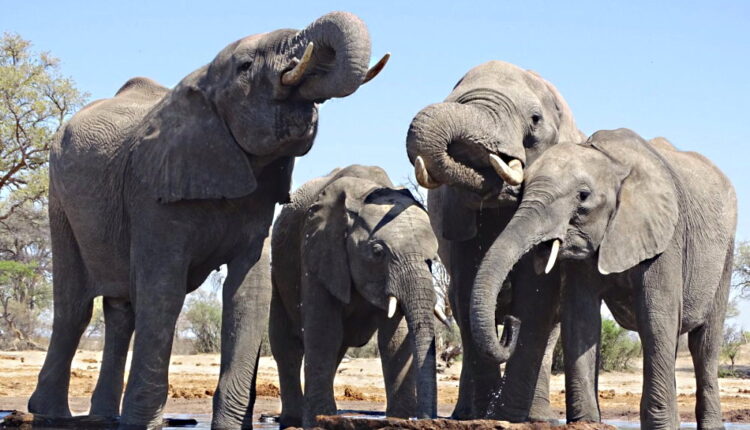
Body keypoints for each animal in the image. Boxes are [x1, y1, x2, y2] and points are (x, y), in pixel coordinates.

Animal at [28, 12, 388, 428]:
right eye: (246, 66)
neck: (201, 83)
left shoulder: (259, 203)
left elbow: (248, 293)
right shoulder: (152, 191)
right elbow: (162, 290)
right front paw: (142, 423)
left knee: (121, 311)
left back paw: (102, 417)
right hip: (60, 200)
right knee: (74, 307)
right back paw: (49, 414)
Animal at [270, 165, 444, 428]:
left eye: (432, 259)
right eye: (378, 252)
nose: (425, 420)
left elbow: (394, 338)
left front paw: (397, 420)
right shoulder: (317, 248)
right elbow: (323, 331)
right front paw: (318, 421)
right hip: (278, 269)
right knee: (286, 345)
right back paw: (293, 420)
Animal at [405, 60, 585, 420]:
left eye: (535, 119)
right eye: (453, 100)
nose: (510, 327)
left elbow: (536, 296)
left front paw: (508, 416)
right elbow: (466, 288)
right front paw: (487, 415)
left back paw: (538, 417)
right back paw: (465, 414)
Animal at [471, 129, 737, 429]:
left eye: (583, 196)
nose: (510, 322)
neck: (611, 162)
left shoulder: (667, 237)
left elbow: (656, 316)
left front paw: (662, 426)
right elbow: (580, 316)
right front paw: (586, 422)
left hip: (725, 254)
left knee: (704, 344)